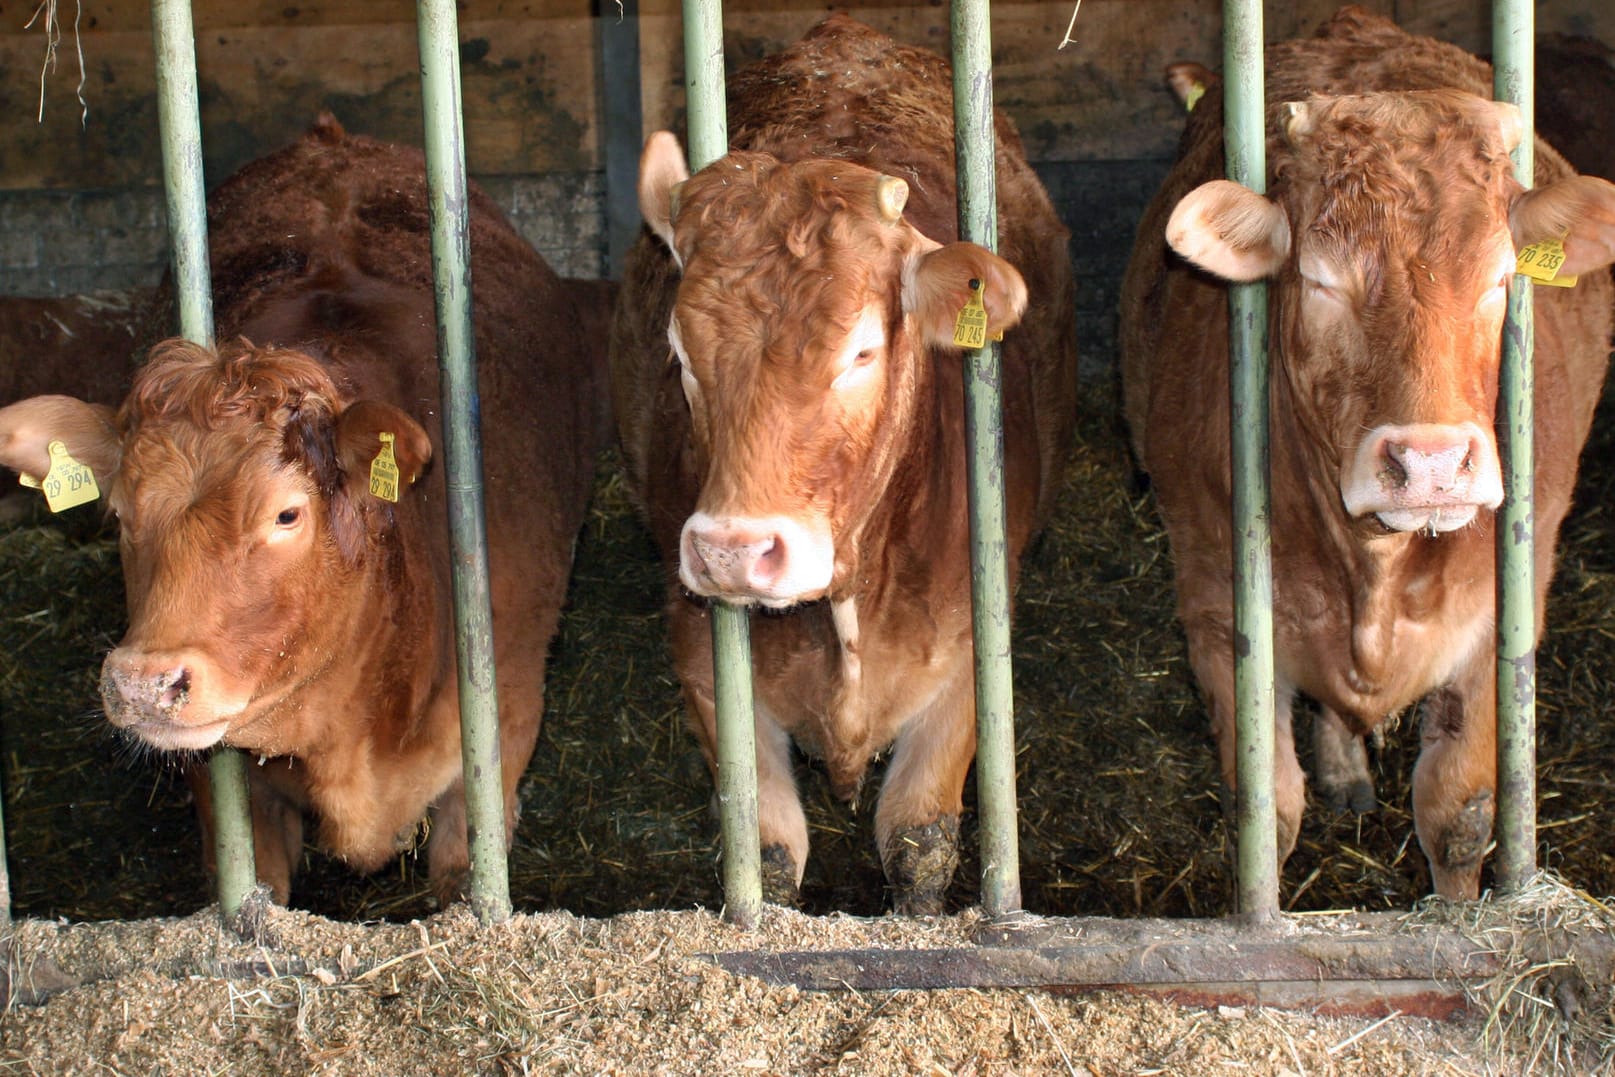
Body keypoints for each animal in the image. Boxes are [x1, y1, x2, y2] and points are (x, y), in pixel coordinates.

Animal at [0, 116, 607, 910]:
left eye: (287, 515)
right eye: (123, 516)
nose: (140, 683)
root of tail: (332, 138)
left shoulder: (502, 726)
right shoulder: (223, 787)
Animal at [610, 12, 1078, 917]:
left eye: (861, 350)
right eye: (680, 352)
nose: (731, 552)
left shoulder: (969, 657)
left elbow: (919, 845)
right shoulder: (703, 664)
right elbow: (767, 853)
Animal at [1124, 6, 1615, 904]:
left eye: (1499, 279)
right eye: (1319, 281)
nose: (1430, 465)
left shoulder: (1500, 618)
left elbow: (1457, 813)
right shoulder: (1216, 615)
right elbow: (1267, 809)